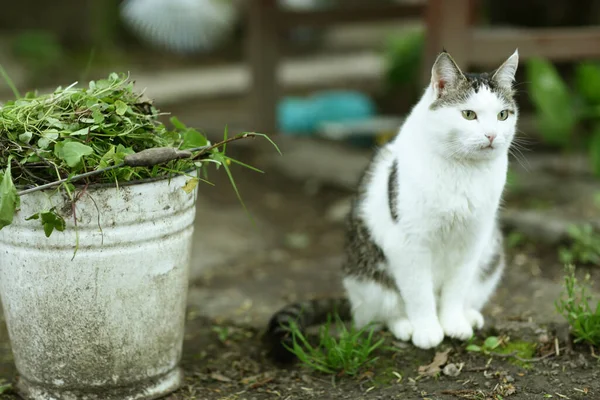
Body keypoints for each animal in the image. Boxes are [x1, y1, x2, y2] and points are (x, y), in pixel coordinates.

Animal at [264, 49, 516, 362]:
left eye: (503, 115)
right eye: (468, 114)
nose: (492, 135)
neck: (463, 172)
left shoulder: (472, 241)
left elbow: (456, 289)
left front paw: (453, 323)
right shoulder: (409, 244)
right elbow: (419, 294)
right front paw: (427, 330)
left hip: (490, 257)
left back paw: (469, 315)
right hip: (368, 279)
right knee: (376, 316)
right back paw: (404, 325)